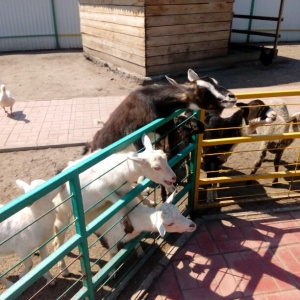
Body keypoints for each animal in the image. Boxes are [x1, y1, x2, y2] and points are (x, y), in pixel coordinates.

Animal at [53, 134, 176, 276]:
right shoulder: (103, 190)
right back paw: (64, 269)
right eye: (156, 167)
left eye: (165, 158)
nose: (174, 177)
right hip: (62, 212)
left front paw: (149, 202)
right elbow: (118, 201)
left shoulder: (124, 188)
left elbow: (136, 192)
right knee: (58, 239)